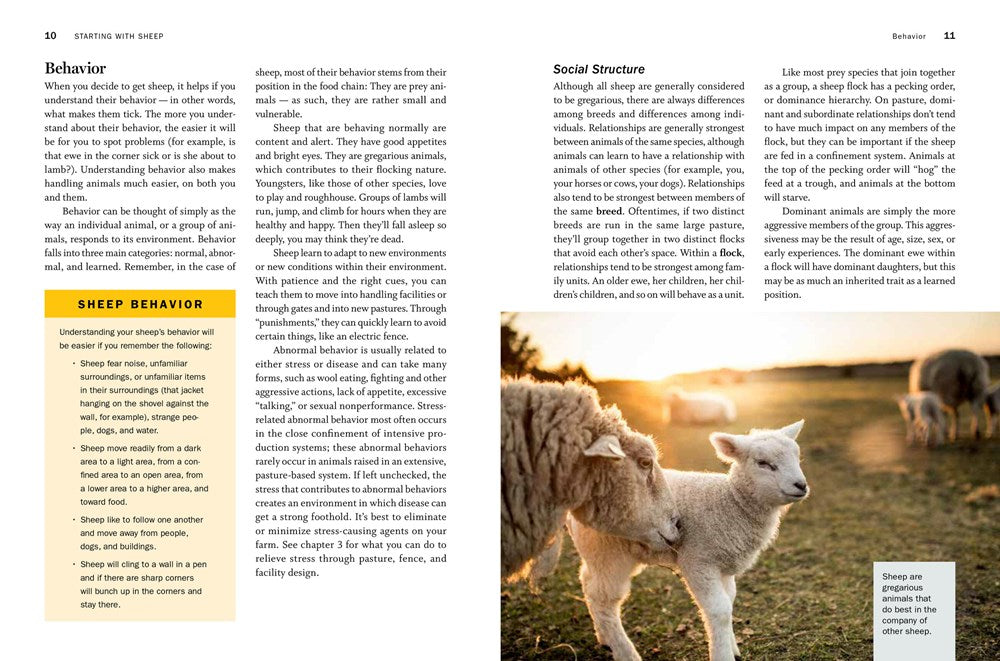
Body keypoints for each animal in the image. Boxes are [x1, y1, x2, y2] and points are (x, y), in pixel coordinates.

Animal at [568, 420, 808, 661]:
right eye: (763, 463)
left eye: (797, 457)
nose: (801, 485)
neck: (731, 503)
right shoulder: (698, 561)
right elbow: (720, 610)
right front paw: (722, 654)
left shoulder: (724, 565)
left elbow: (729, 600)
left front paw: (732, 646)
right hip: (608, 553)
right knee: (603, 600)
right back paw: (624, 651)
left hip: (600, 554)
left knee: (588, 582)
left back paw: (604, 637)